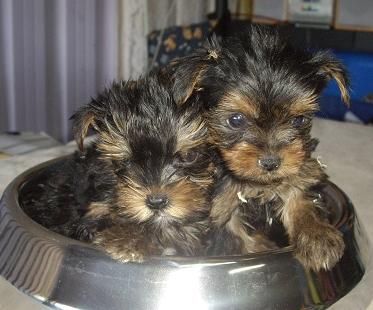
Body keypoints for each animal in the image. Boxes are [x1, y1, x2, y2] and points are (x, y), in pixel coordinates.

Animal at [171, 26, 348, 272]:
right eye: (236, 120)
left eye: (299, 120)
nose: (271, 162)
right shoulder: (218, 209)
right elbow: (236, 237)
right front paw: (260, 249)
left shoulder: (302, 167)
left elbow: (300, 193)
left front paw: (317, 237)